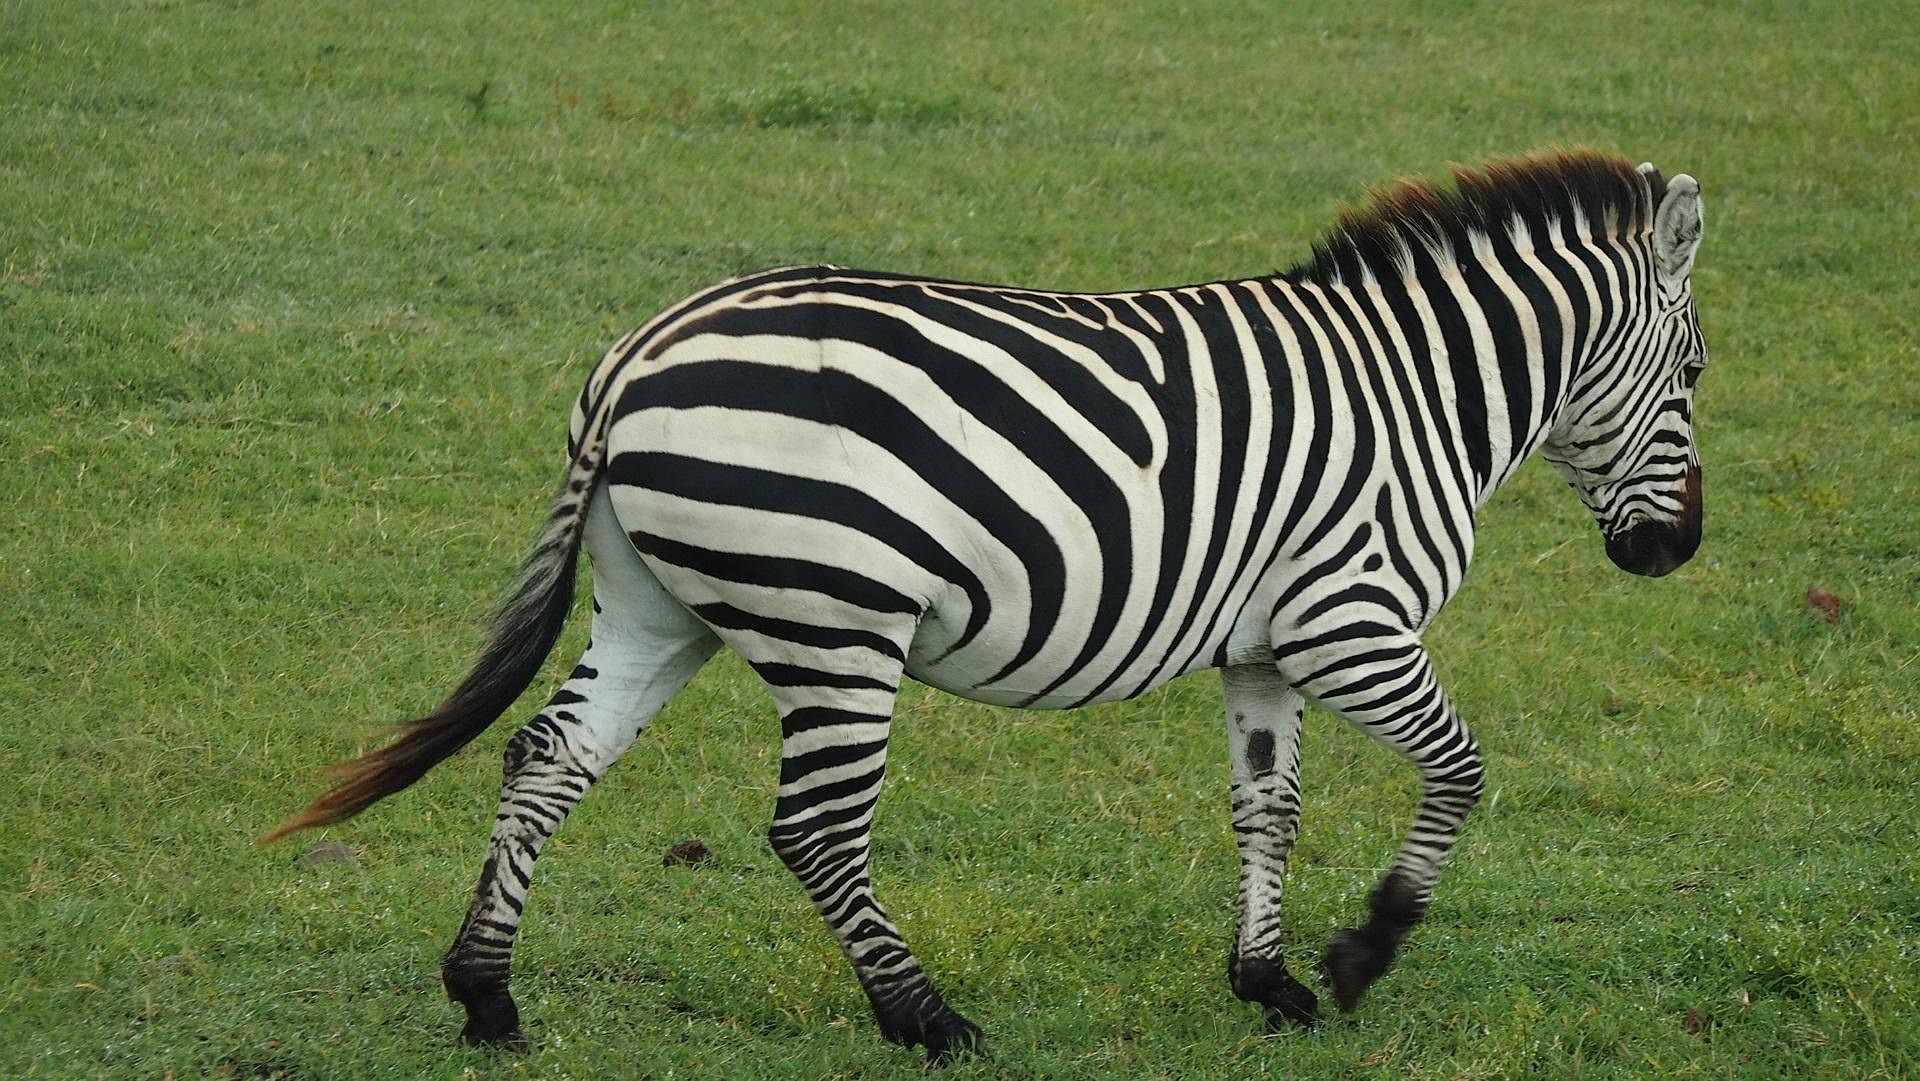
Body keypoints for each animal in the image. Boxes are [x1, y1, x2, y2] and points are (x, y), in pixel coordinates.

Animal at [268, 149, 1707, 1062]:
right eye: (1695, 370)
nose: (1675, 553)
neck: (1421, 394)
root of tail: (639, 353)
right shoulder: (1348, 623)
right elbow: (1463, 770)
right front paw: (1366, 950)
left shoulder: (1265, 650)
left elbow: (1269, 806)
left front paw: (1269, 980)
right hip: (839, 619)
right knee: (814, 826)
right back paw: (927, 1020)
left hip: (658, 608)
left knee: (545, 759)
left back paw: (486, 998)